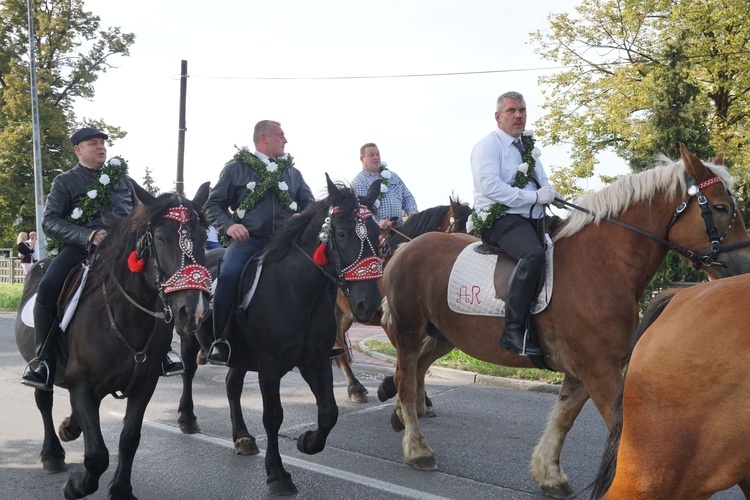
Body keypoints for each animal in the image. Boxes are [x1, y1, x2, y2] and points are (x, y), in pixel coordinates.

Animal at [15, 185, 214, 500]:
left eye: (203, 238)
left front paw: (120, 489)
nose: (193, 311)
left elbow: (129, 439)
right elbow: (97, 455)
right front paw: (76, 486)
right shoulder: (83, 387)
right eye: (161, 238)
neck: (124, 317)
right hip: (39, 364)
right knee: (43, 400)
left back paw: (70, 428)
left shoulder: (144, 385)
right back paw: (52, 455)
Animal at [179, 176, 384, 496]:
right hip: (189, 336)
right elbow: (273, 416)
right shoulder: (270, 366)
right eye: (341, 233)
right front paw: (277, 474)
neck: (297, 290)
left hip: (239, 354)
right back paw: (187, 419)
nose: (369, 304)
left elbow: (329, 412)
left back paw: (242, 436)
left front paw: (308, 441)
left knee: (232, 385)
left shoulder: (315, 361)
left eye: (378, 233)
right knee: (188, 373)